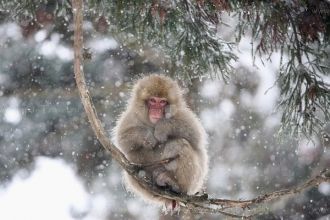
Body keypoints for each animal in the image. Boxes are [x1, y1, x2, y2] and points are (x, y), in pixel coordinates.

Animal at [112, 75, 208, 211]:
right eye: (152, 100)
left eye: (162, 102)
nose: (156, 111)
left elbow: (195, 136)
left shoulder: (182, 114)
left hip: (194, 182)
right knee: (132, 156)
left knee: (179, 144)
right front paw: (148, 137)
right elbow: (123, 140)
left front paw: (162, 128)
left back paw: (175, 184)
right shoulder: (131, 116)